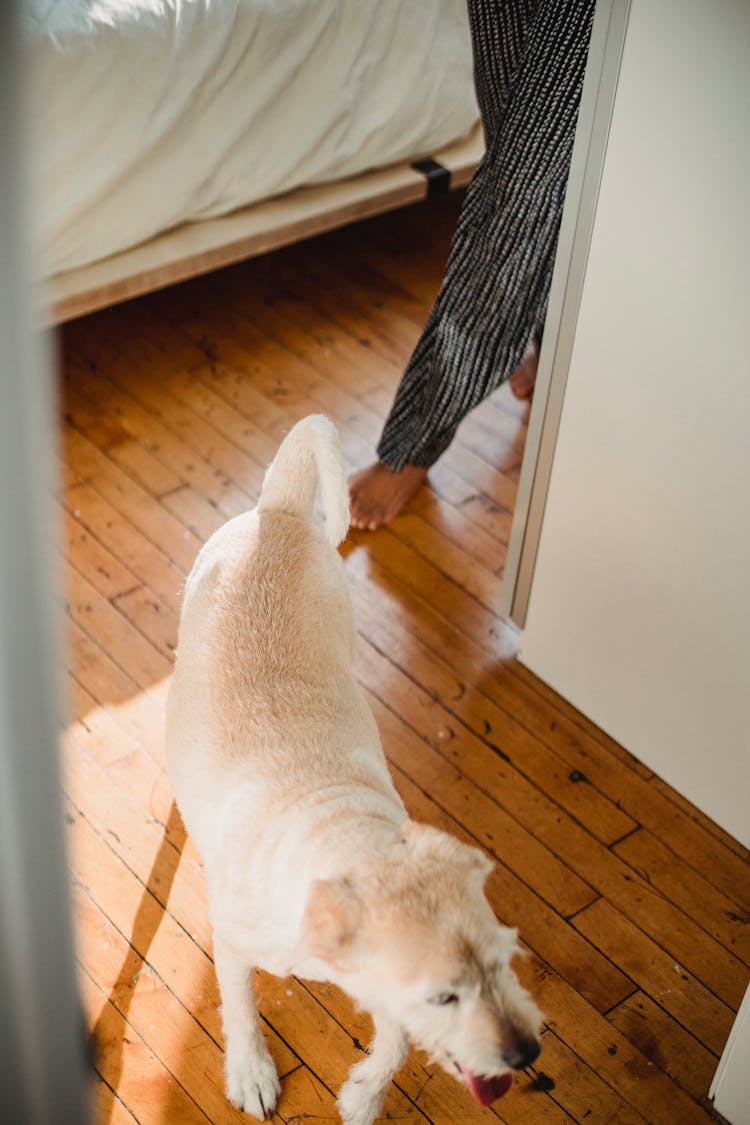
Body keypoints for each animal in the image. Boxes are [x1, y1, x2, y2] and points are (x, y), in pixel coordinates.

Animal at [167, 416, 541, 1125]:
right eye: (444, 997)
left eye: (504, 964)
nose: (528, 1054)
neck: (347, 840)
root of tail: (278, 511)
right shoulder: (231, 944)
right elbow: (240, 1007)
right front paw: (250, 1071)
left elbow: (393, 1045)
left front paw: (366, 1094)